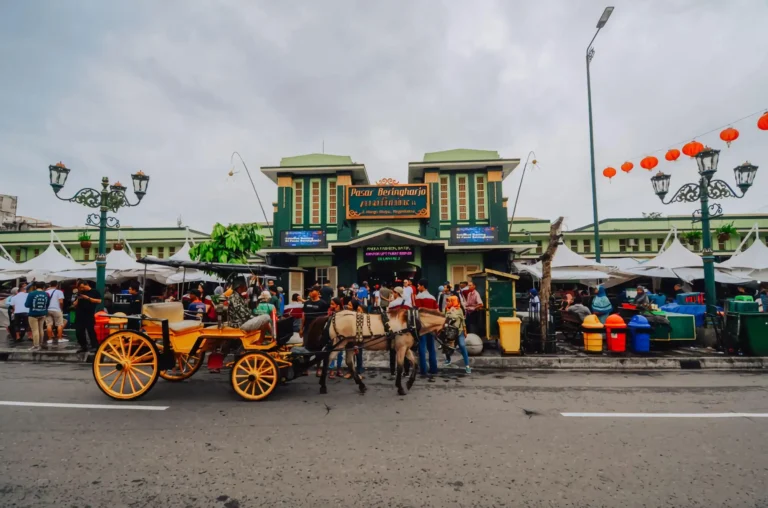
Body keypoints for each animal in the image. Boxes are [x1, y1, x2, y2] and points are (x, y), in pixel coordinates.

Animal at [300, 308, 444, 394]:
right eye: (449, 329)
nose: (447, 349)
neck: (410, 321)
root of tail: (332, 316)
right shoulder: (401, 348)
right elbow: (400, 367)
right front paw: (400, 387)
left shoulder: (405, 348)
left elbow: (415, 363)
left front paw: (409, 383)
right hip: (338, 343)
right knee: (326, 359)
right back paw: (323, 386)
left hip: (349, 343)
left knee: (348, 362)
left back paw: (361, 385)